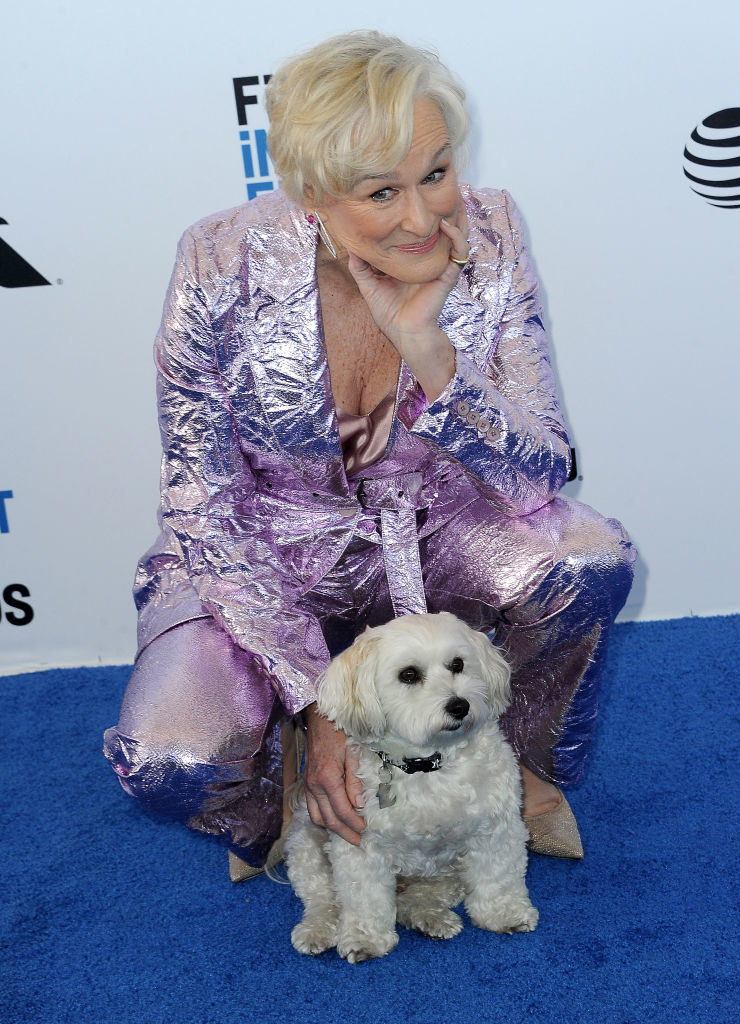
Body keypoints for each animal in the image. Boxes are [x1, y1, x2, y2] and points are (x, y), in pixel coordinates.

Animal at [284, 610, 540, 962]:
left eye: (457, 664)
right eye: (408, 675)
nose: (460, 706)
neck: (428, 765)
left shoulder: (496, 828)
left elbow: (498, 875)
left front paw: (503, 913)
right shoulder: (360, 844)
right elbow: (364, 897)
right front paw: (365, 938)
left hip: (446, 873)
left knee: (418, 897)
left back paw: (429, 917)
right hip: (307, 844)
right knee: (323, 898)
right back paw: (317, 930)